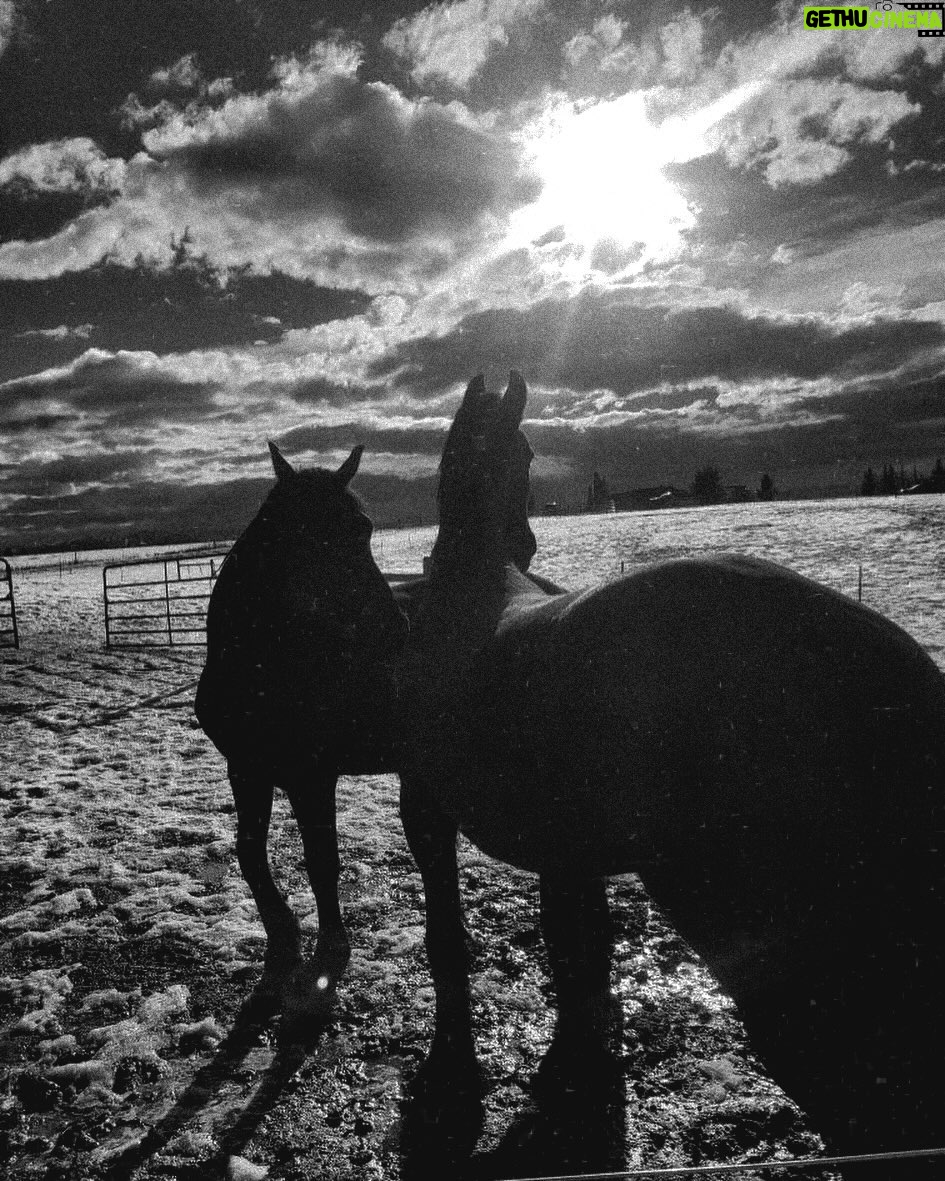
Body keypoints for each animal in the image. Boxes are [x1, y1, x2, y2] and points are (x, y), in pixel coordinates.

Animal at [194, 422, 562, 999]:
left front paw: (330, 947)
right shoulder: (245, 768)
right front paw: (282, 934)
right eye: (306, 533)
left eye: (364, 528)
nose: (394, 629)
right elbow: (250, 852)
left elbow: (322, 860)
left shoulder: (311, 775)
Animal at [393, 371, 945, 1173]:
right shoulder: (565, 848)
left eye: (525, 456)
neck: (471, 586)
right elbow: (577, 953)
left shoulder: (429, 812)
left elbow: (456, 939)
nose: (526, 542)